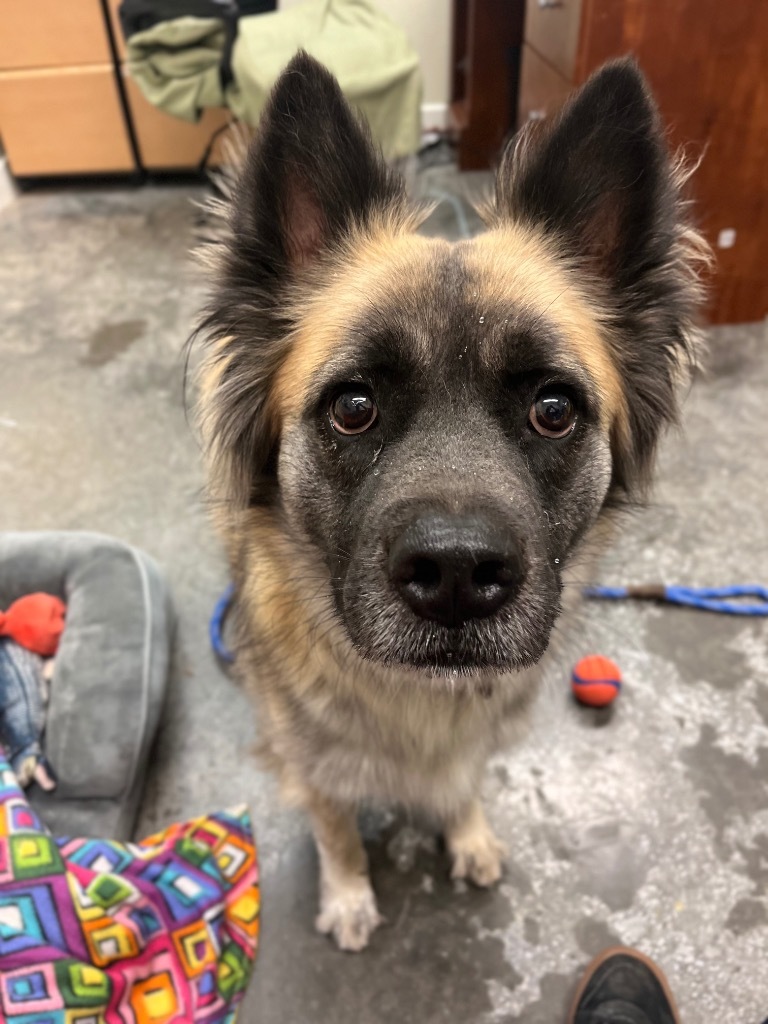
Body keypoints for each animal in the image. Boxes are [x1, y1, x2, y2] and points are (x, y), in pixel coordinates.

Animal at [195, 51, 708, 950]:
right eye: (353, 406)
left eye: (553, 409)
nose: (459, 577)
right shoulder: (310, 761)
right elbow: (336, 830)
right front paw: (349, 896)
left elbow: (464, 781)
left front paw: (466, 833)